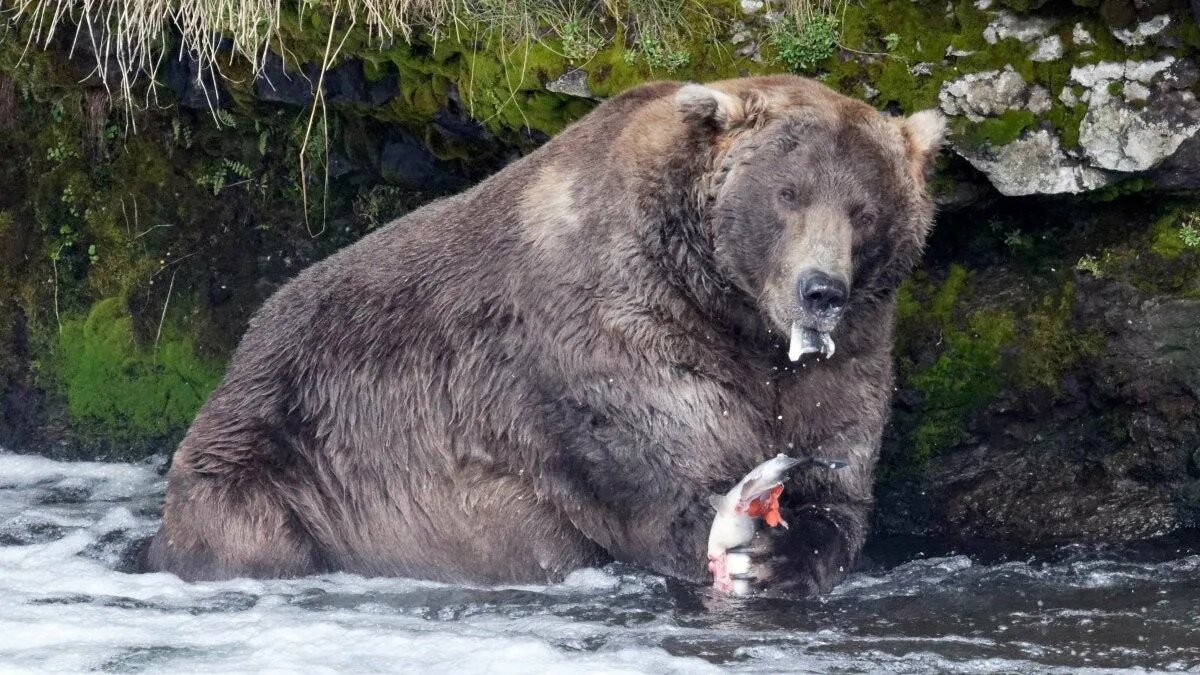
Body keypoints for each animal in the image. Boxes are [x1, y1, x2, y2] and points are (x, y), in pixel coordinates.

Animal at [145, 76, 940, 595]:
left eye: (863, 208)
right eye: (786, 194)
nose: (821, 290)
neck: (734, 316)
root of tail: (243, 344)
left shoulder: (843, 360)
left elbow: (838, 481)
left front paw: (787, 550)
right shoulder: (607, 335)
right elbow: (653, 466)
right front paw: (736, 534)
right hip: (282, 453)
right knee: (244, 527)